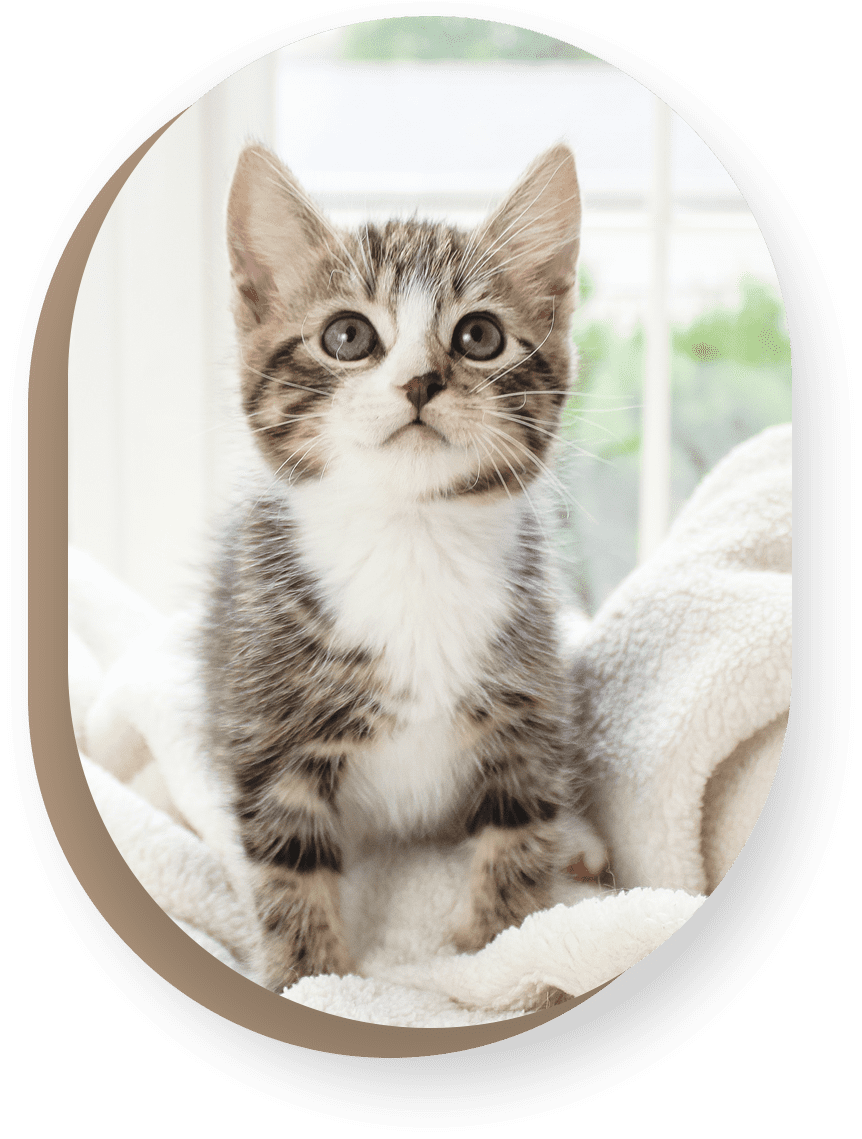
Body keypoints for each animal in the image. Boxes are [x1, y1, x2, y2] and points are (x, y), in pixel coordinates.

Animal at [200, 140, 605, 997]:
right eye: (347, 335)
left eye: (480, 336)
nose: (422, 381)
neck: (411, 534)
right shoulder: (269, 723)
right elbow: (289, 862)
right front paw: (312, 977)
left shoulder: (526, 704)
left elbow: (519, 829)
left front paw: (495, 950)